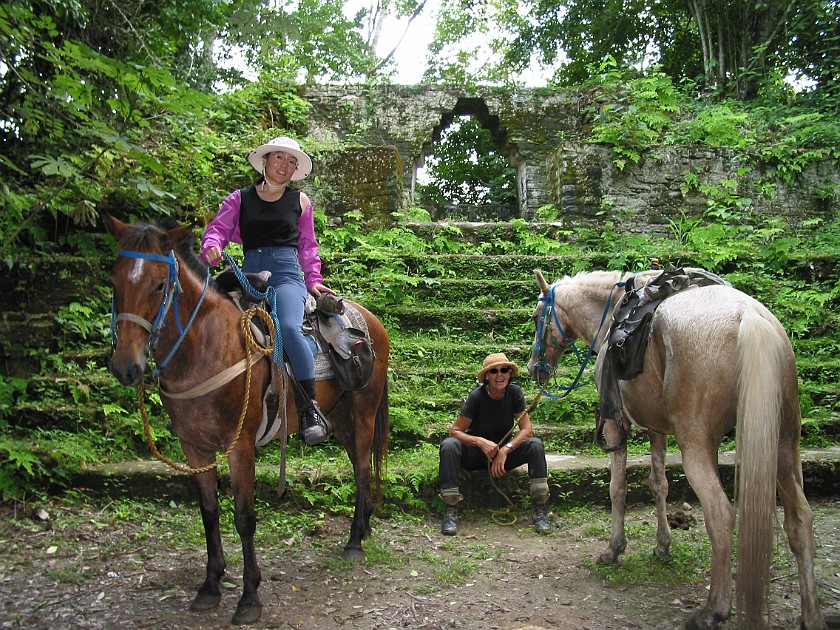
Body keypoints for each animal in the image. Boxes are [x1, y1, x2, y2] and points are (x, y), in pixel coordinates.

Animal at [104, 216, 390, 628]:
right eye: (114, 281)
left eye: (160, 285)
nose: (126, 366)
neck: (206, 346)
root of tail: (371, 320)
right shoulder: (195, 447)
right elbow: (209, 512)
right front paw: (210, 585)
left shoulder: (240, 445)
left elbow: (244, 517)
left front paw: (249, 597)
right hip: (339, 414)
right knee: (357, 463)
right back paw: (363, 526)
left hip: (364, 408)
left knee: (365, 466)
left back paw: (354, 541)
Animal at [528, 270, 824, 630]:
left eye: (537, 317)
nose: (533, 367)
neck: (612, 315)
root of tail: (750, 317)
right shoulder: (658, 429)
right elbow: (659, 484)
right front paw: (662, 545)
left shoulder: (615, 424)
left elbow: (617, 488)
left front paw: (614, 549)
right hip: (782, 444)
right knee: (800, 519)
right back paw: (811, 614)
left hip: (696, 444)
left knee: (721, 514)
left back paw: (713, 610)